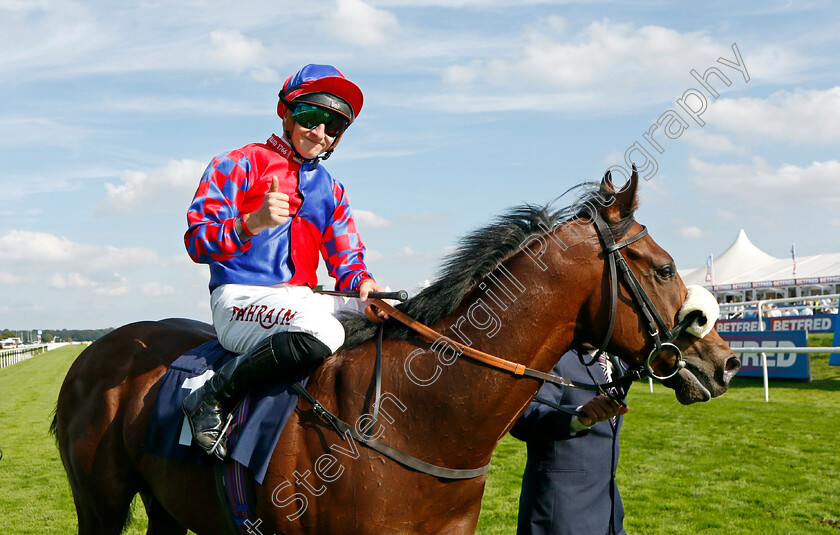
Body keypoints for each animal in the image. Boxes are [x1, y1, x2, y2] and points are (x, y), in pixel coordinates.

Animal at [54, 173, 736, 535]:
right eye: (665, 267)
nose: (724, 360)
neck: (416, 417)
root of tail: (93, 357)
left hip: (166, 501)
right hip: (100, 503)